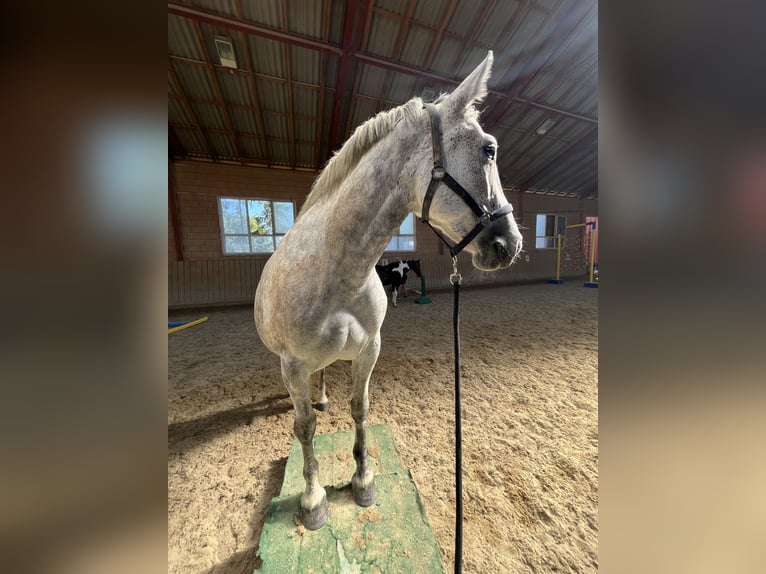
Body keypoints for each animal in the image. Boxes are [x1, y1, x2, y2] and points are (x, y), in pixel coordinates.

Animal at [254, 51, 522, 530]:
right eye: (488, 149)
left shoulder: (368, 350)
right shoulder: (293, 366)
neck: (338, 270)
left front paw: (363, 480)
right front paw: (313, 500)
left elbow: (360, 410)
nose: (509, 244)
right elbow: (304, 430)